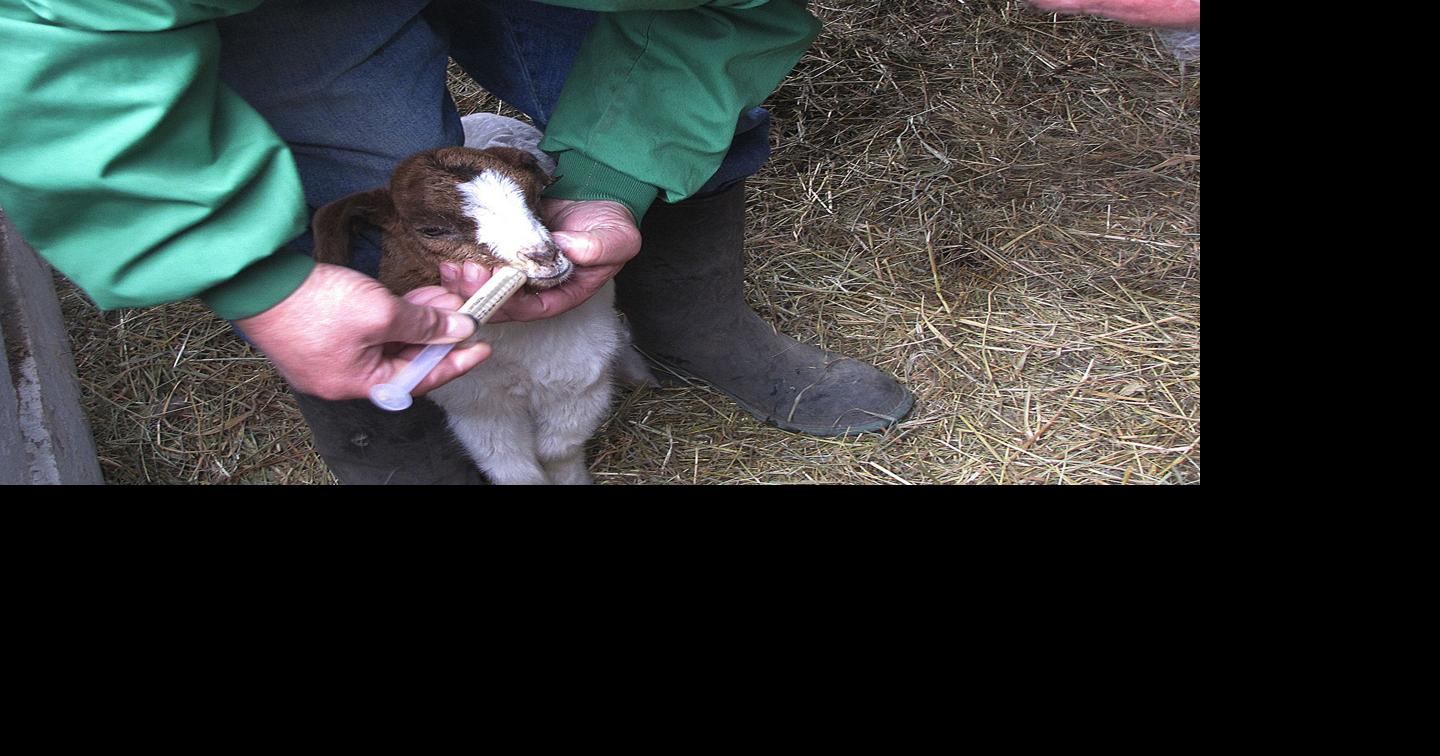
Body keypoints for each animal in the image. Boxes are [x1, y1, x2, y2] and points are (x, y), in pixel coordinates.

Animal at [311, 131, 622, 485]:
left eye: (534, 195)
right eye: (432, 229)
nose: (545, 257)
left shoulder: (580, 384)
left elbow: (559, 452)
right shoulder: (477, 407)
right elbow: (514, 469)